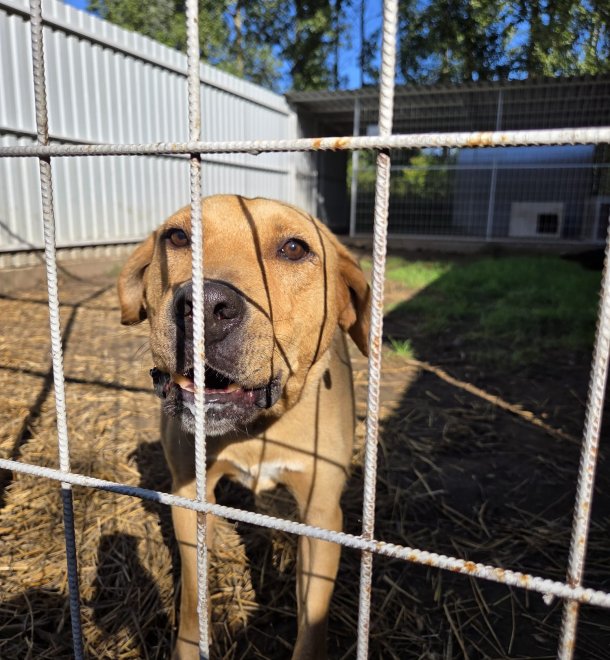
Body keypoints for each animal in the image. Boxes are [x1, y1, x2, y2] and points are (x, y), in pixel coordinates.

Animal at [118, 194, 370, 659]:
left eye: (294, 248)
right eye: (177, 236)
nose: (204, 306)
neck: (258, 428)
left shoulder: (322, 516)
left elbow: (311, 622)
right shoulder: (188, 494)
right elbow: (192, 601)